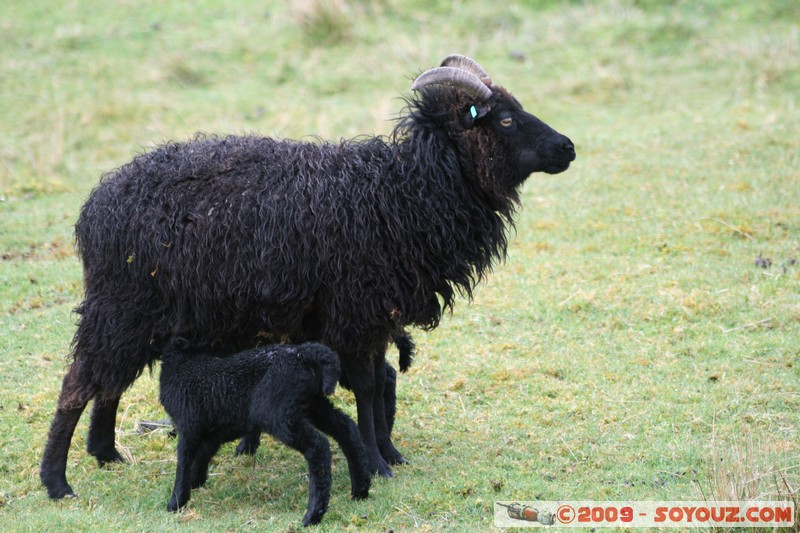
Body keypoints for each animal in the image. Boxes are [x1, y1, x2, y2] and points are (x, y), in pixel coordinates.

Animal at [40, 54, 575, 499]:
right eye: (505, 119)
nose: (568, 147)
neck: (402, 192)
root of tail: (97, 205)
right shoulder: (355, 312)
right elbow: (366, 388)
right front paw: (377, 463)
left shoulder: (377, 315)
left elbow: (377, 385)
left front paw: (387, 453)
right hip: (123, 303)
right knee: (78, 385)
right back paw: (58, 482)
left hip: (137, 313)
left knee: (108, 382)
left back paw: (107, 454)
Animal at [159, 338, 370, 526]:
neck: (182, 363)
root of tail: (301, 353)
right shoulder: (213, 430)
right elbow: (202, 455)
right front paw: (196, 483)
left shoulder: (188, 426)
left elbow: (184, 463)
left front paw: (175, 503)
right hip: (312, 404)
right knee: (347, 429)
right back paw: (360, 490)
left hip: (277, 412)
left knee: (318, 445)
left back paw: (312, 516)